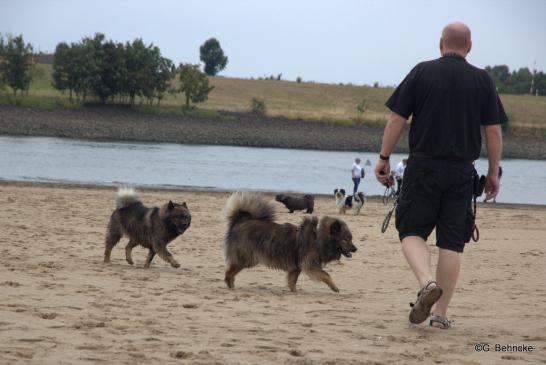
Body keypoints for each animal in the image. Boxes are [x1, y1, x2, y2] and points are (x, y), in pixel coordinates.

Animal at [222, 192, 356, 292]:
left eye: (351, 238)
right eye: (345, 239)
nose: (356, 249)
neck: (318, 239)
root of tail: (240, 221)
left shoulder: (296, 267)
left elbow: (292, 281)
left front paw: (294, 291)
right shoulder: (310, 265)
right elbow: (326, 275)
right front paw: (334, 287)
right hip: (246, 258)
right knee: (229, 271)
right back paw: (230, 285)